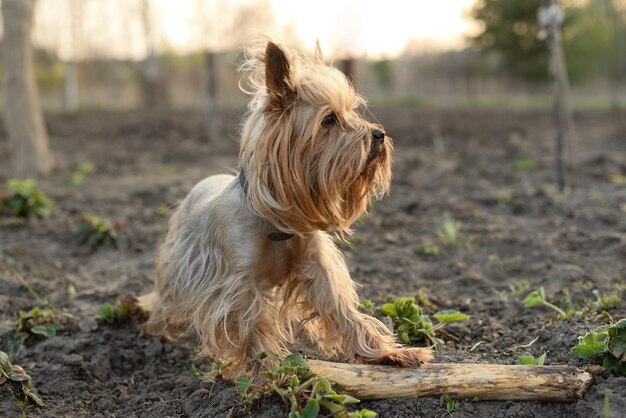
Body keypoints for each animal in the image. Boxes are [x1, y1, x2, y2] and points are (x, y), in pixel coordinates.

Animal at [145, 39, 428, 378]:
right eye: (328, 120)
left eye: (352, 111)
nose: (379, 134)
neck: (277, 224)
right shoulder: (239, 286)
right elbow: (248, 327)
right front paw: (267, 376)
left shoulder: (317, 267)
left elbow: (342, 310)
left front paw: (389, 353)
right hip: (176, 266)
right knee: (165, 299)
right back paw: (156, 333)